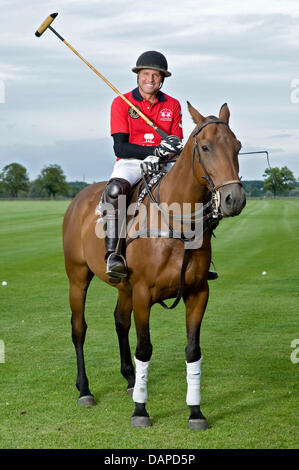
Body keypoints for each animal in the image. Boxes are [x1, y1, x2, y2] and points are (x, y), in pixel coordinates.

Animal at [62, 103, 246, 430]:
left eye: (237, 146)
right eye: (205, 147)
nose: (233, 199)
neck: (178, 222)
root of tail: (78, 198)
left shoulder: (198, 292)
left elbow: (193, 351)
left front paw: (196, 412)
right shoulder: (143, 293)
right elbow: (145, 348)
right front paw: (140, 411)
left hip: (123, 286)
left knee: (119, 320)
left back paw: (130, 379)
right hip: (78, 276)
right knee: (79, 327)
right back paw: (84, 389)